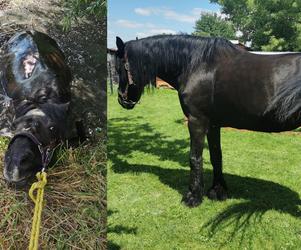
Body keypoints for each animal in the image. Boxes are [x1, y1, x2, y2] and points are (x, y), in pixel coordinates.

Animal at [115, 34, 301, 207]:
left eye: (119, 68)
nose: (122, 100)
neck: (197, 65)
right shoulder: (213, 124)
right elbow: (216, 156)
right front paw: (217, 191)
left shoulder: (196, 121)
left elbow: (195, 157)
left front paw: (193, 197)